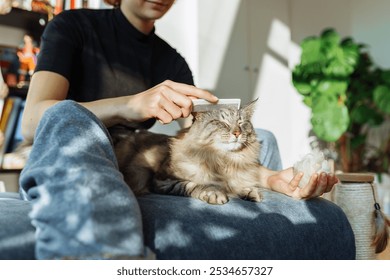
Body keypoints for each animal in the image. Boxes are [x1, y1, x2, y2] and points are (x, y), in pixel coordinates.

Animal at [111, 99, 266, 205]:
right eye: (222, 123)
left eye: (241, 123)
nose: (237, 133)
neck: (224, 160)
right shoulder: (162, 180)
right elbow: (194, 184)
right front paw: (214, 193)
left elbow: (240, 185)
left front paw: (250, 192)